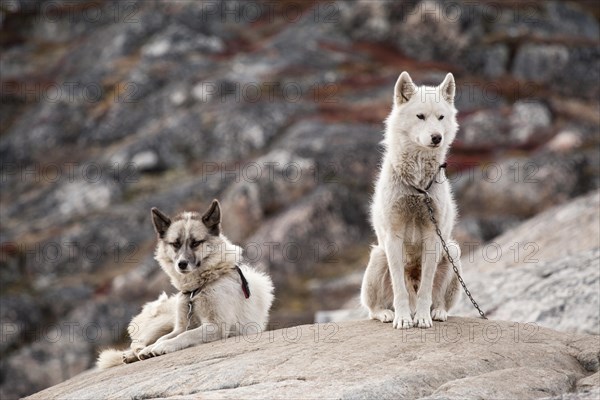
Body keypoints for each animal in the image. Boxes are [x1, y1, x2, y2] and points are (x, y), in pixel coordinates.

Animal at [360, 72, 464, 332]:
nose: (437, 137)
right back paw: (387, 313)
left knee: (438, 300)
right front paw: (403, 319)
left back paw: (436, 312)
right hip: (379, 256)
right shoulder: (393, 237)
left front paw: (423, 318)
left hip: (452, 251)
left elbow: (425, 288)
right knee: (374, 307)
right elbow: (400, 289)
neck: (417, 185)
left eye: (441, 117)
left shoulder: (432, 237)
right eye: (420, 116)